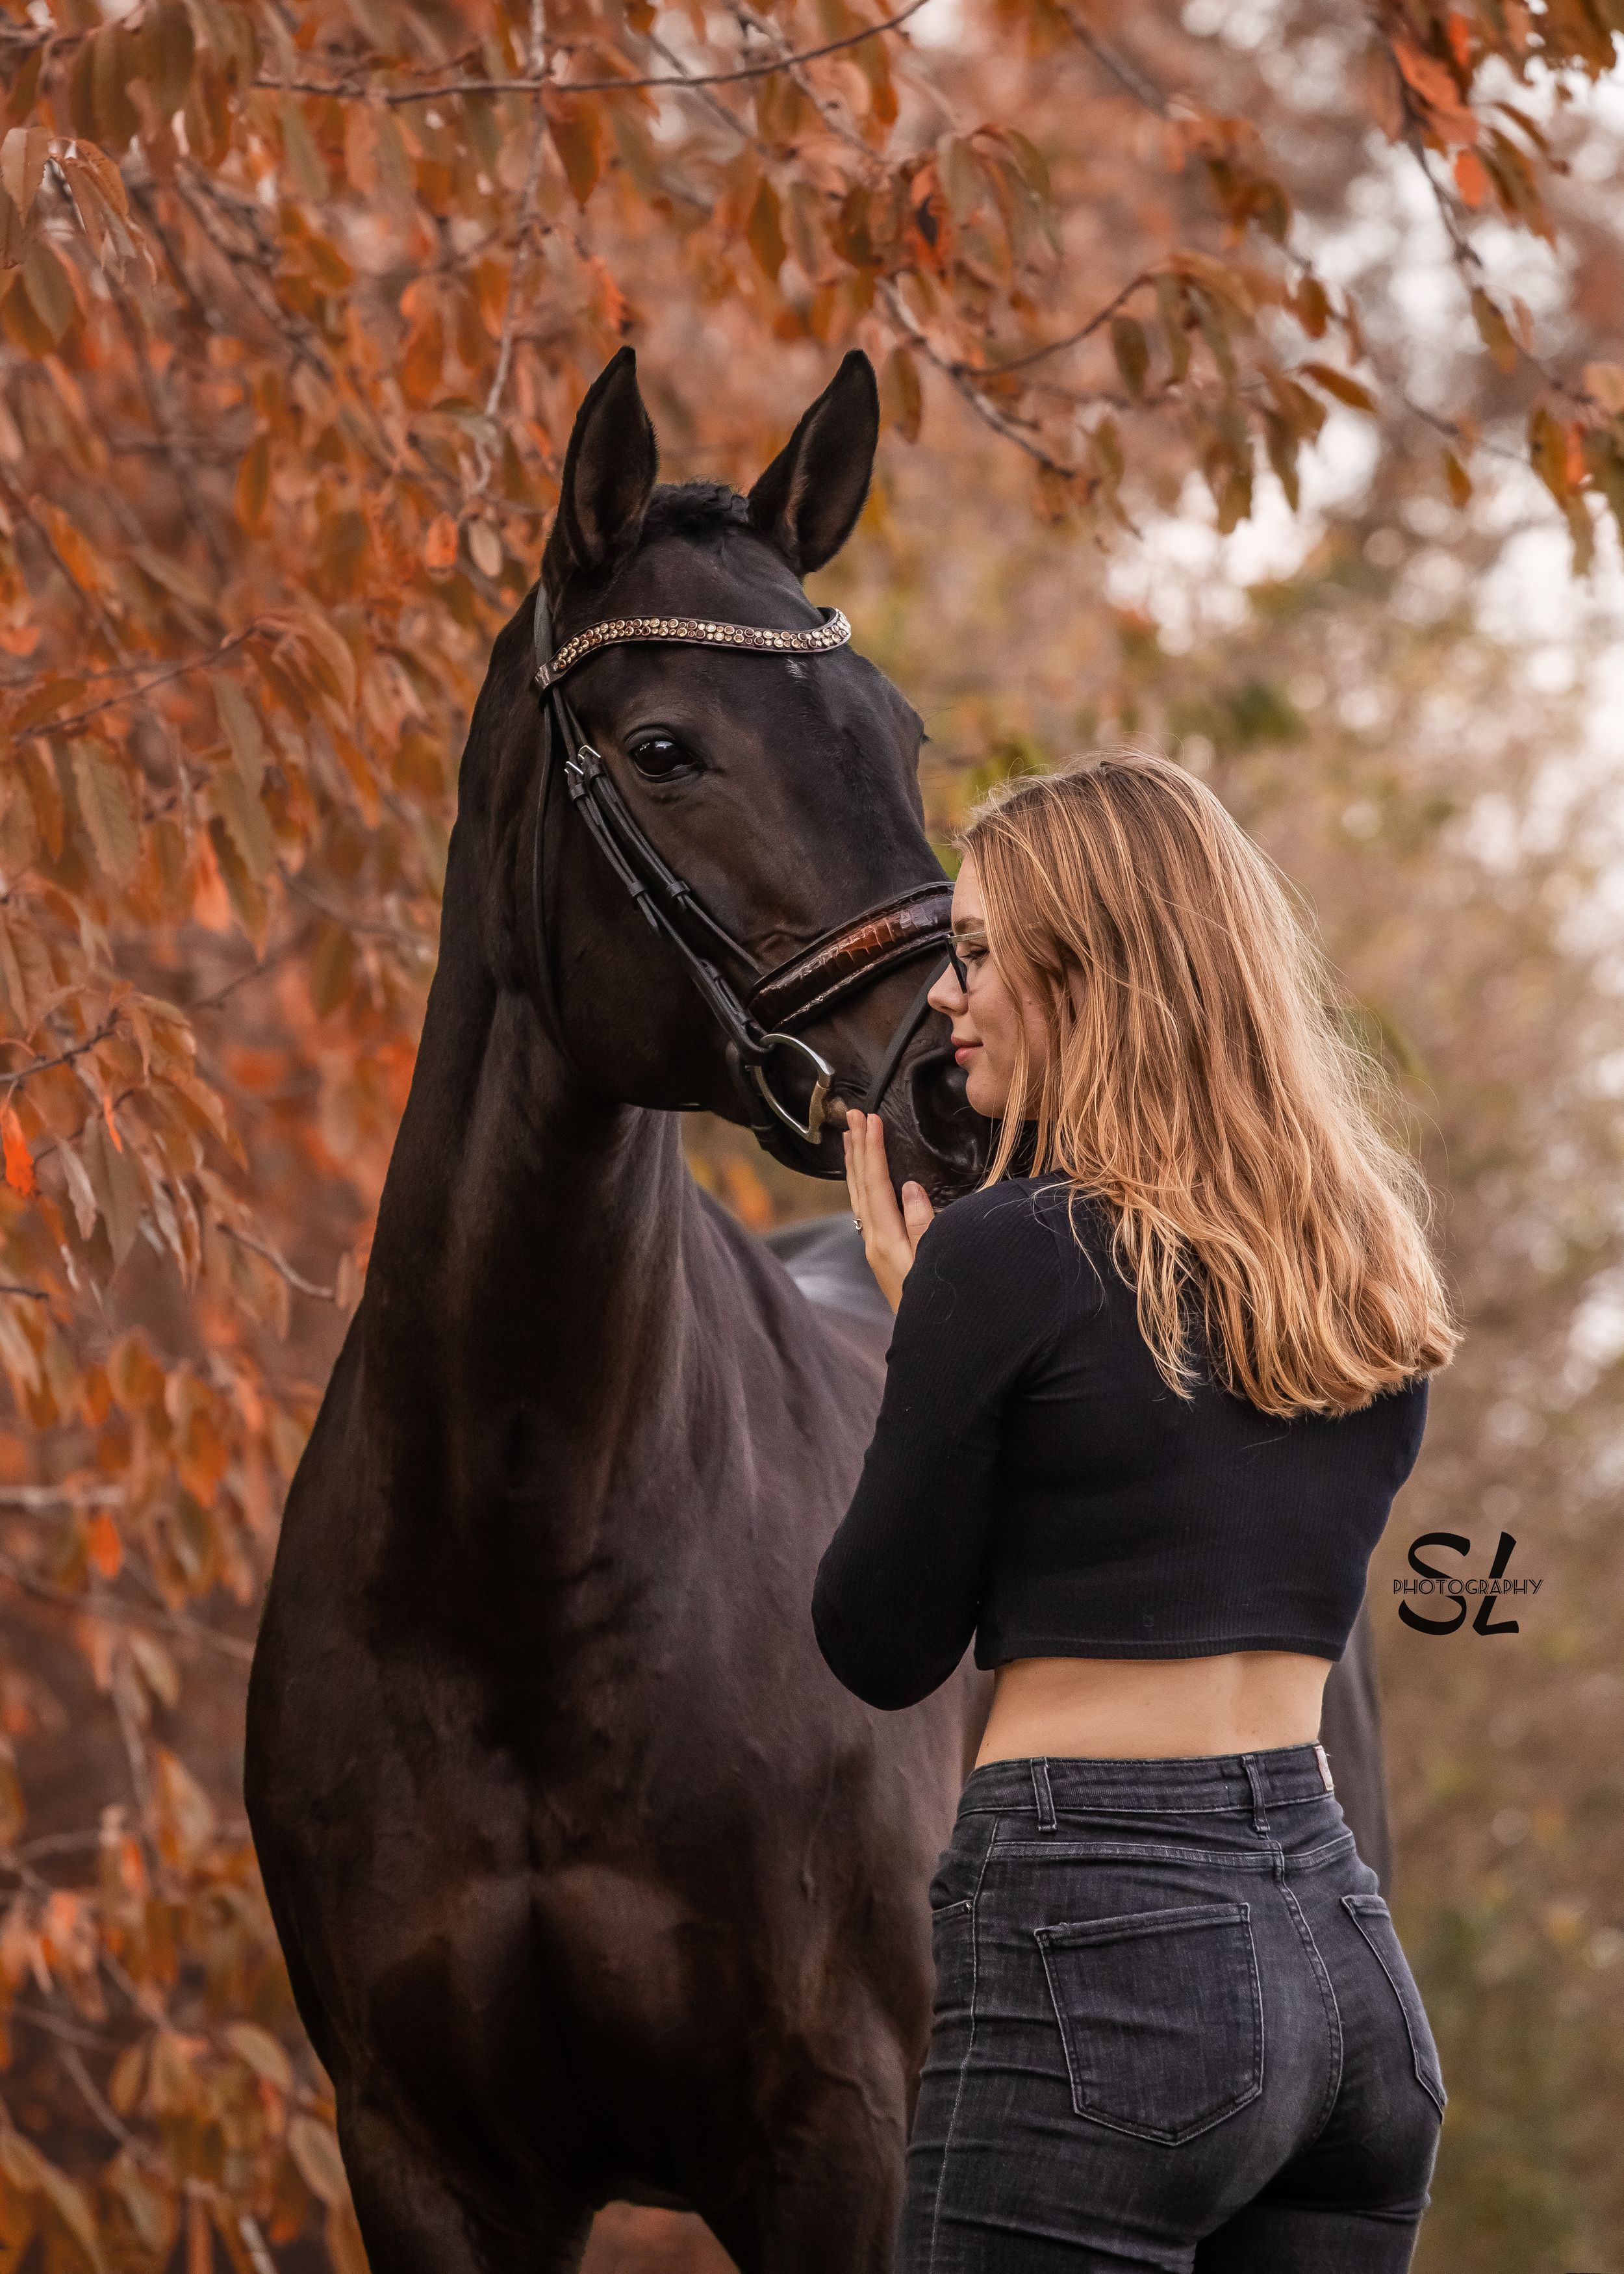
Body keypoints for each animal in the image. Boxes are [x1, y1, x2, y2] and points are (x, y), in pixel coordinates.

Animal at [244, 347, 1392, 2274]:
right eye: (661, 749)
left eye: (898, 735)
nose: (958, 1097)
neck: (520, 1556)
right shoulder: (423, 2156)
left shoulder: (837, 2136)